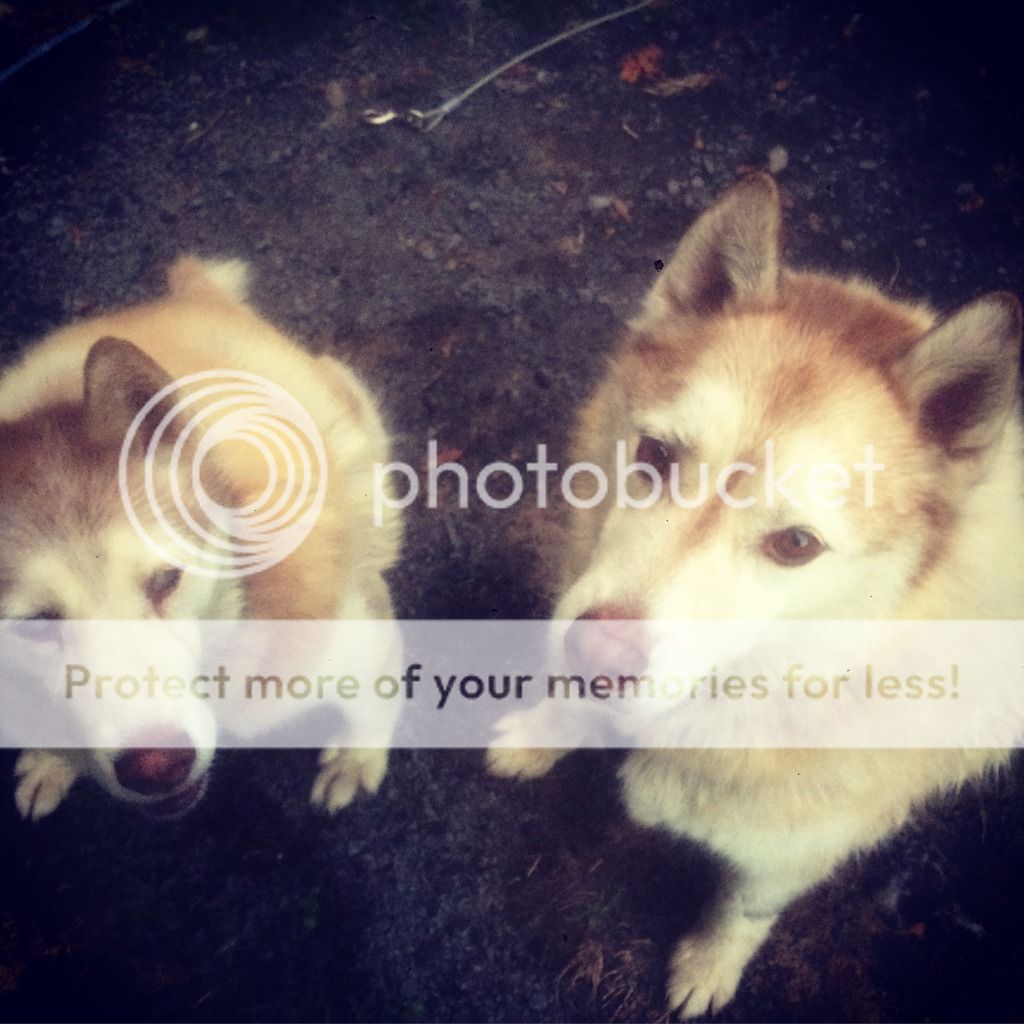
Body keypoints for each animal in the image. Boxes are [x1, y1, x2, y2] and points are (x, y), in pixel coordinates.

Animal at [0, 256, 403, 820]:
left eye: (166, 581)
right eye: (34, 624)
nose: (157, 767)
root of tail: (190, 294)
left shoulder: (354, 640)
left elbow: (377, 694)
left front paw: (356, 757)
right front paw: (51, 759)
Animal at [489, 173, 1024, 1016]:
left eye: (796, 545)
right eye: (655, 454)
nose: (594, 655)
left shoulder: (794, 849)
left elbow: (744, 906)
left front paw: (709, 964)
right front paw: (545, 731)